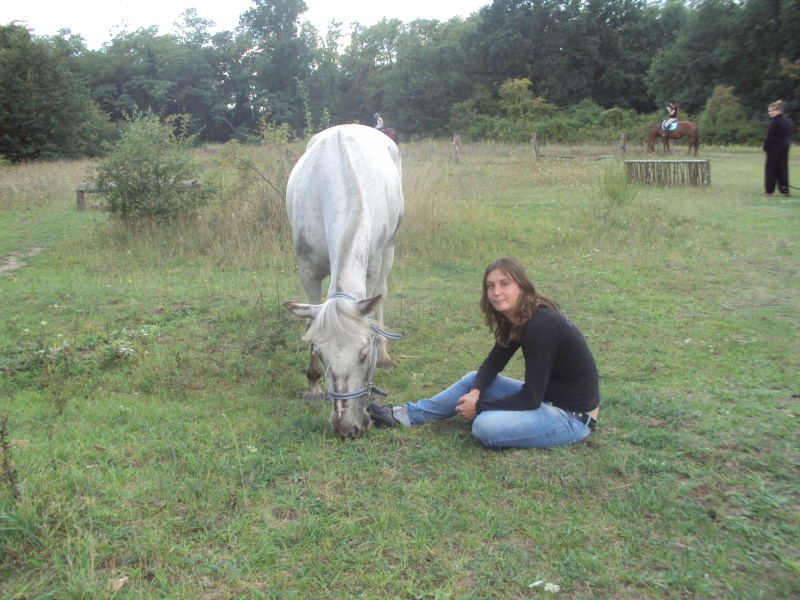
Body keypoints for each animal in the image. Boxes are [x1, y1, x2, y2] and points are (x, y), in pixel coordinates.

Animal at [282, 124, 406, 438]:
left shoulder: (371, 266)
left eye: (364, 354)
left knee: (382, 296)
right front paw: (312, 386)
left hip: (389, 249)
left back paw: (385, 355)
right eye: (321, 354)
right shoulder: (307, 270)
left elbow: (372, 315)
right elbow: (310, 322)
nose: (346, 428)